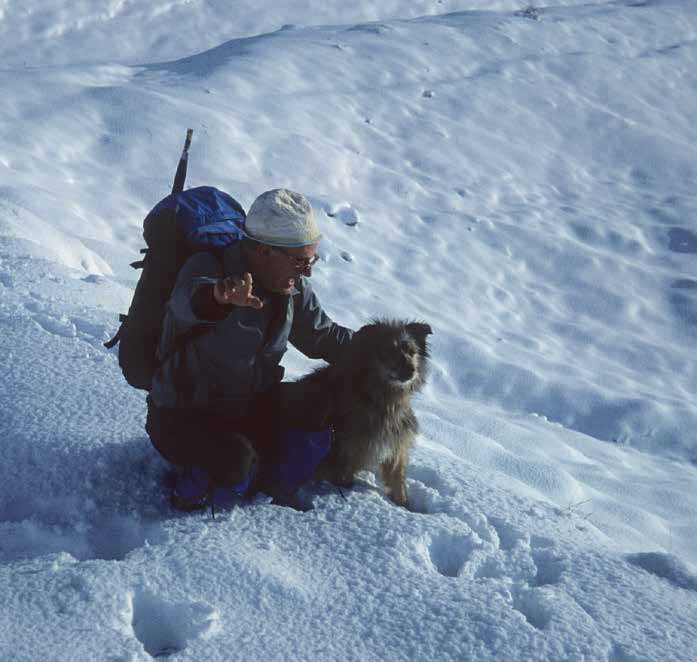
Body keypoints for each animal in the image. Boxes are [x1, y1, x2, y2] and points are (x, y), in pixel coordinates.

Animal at [276, 320, 430, 506]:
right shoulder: (348, 451)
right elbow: (344, 478)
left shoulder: (396, 443)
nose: (412, 370)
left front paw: (403, 504)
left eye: (412, 352)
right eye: (389, 351)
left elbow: (397, 479)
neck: (381, 399)